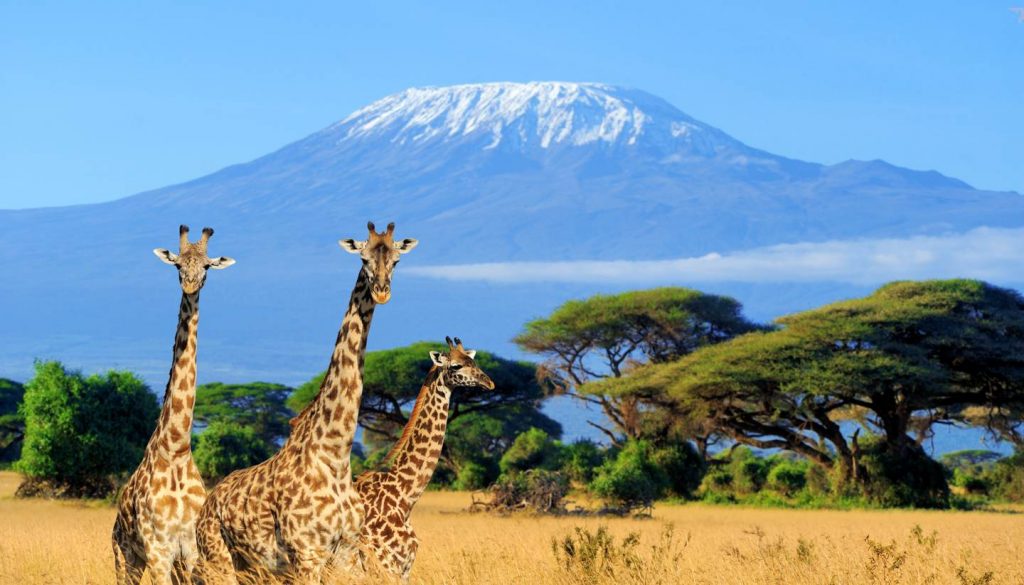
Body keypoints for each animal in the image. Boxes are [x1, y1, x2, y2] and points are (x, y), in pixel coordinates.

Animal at [112, 225, 235, 585]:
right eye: (178, 264)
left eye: (207, 266)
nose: (190, 284)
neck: (177, 448)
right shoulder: (159, 551)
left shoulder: (191, 550)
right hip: (124, 557)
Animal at [192, 222, 415, 581]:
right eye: (364, 258)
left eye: (396, 260)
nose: (382, 291)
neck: (335, 456)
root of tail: (207, 506)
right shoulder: (307, 553)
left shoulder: (346, 553)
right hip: (218, 558)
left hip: (255, 567)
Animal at [348, 338, 495, 581]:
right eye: (455, 366)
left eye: (473, 361)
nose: (489, 383)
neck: (404, 497)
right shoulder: (385, 565)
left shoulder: (404, 568)